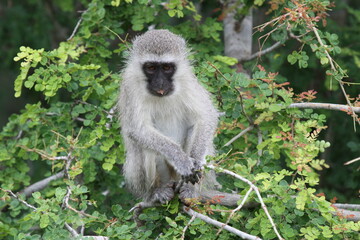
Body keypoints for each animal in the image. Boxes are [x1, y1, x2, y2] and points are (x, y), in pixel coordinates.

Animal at [119, 29, 219, 204]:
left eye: (166, 67)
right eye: (151, 67)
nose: (159, 83)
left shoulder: (187, 79)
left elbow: (206, 116)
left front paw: (196, 161)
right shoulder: (130, 85)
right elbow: (138, 130)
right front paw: (182, 160)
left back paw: (190, 190)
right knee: (147, 146)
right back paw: (156, 191)